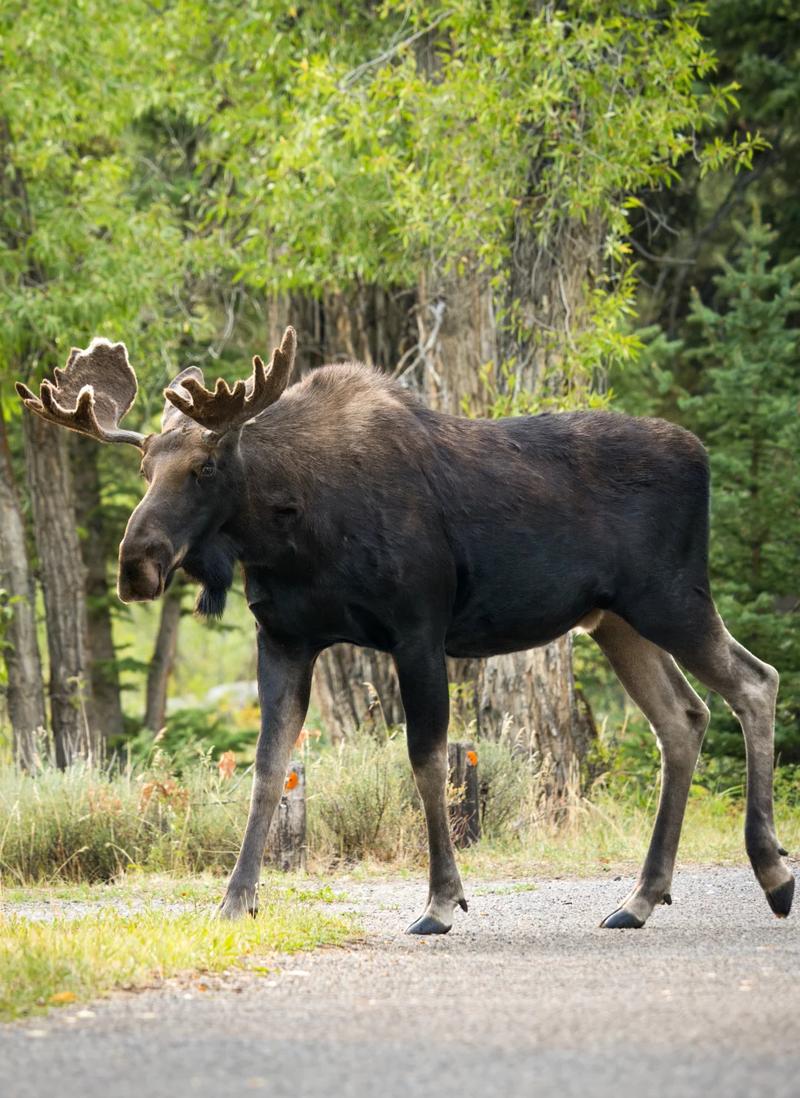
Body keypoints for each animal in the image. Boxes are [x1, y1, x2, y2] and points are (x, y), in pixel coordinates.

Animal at [16, 329, 794, 933]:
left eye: (203, 466)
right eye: (145, 466)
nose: (136, 565)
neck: (290, 532)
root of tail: (703, 455)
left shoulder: (419, 628)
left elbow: (426, 759)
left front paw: (442, 901)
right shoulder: (285, 639)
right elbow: (269, 768)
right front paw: (237, 900)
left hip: (671, 597)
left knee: (755, 681)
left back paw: (772, 873)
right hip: (616, 620)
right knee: (683, 717)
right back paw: (640, 897)